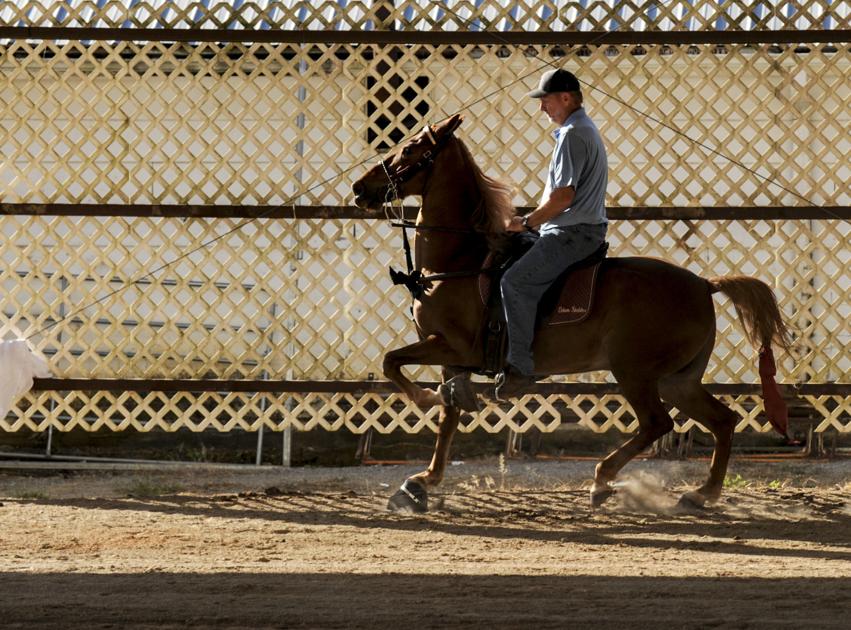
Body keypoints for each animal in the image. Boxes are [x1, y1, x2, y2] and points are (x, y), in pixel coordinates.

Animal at [351, 113, 790, 512]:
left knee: (657, 423)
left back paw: (603, 480)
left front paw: (422, 398)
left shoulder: (452, 347)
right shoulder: (450, 359)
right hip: (677, 380)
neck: (463, 261)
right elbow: (447, 416)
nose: (360, 187)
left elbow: (393, 363)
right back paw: (701, 494)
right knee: (723, 420)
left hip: (636, 373)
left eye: (411, 149)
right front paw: (420, 483)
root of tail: (704, 284)